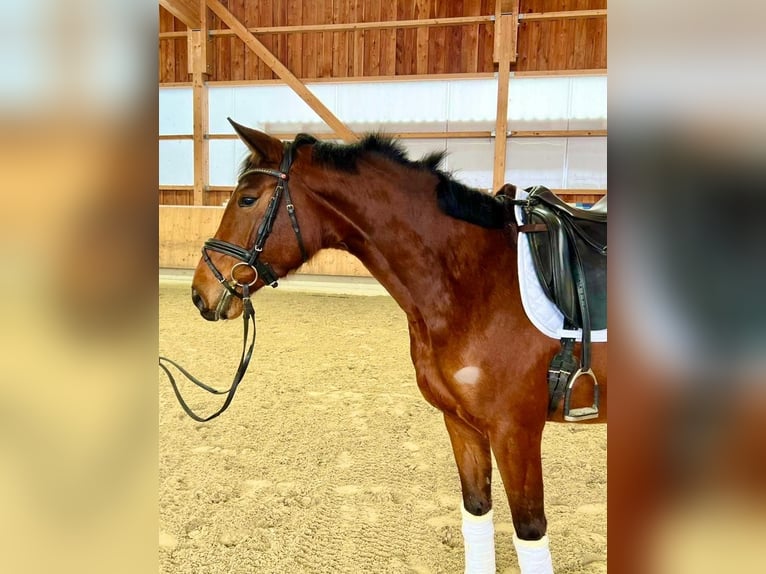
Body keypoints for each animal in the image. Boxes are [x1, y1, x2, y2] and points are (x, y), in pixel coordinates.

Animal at [190, 120, 607, 574]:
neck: (475, 279)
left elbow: (530, 531)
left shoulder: (516, 431)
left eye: (247, 199)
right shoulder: (462, 424)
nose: (200, 293)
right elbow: (477, 511)